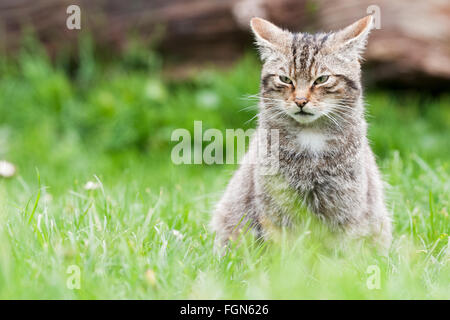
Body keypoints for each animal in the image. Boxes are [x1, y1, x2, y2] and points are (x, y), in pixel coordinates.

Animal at [211, 15, 390, 252]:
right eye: (285, 79)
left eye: (322, 79)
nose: (300, 101)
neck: (310, 136)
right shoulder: (276, 206)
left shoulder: (347, 206)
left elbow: (343, 249)